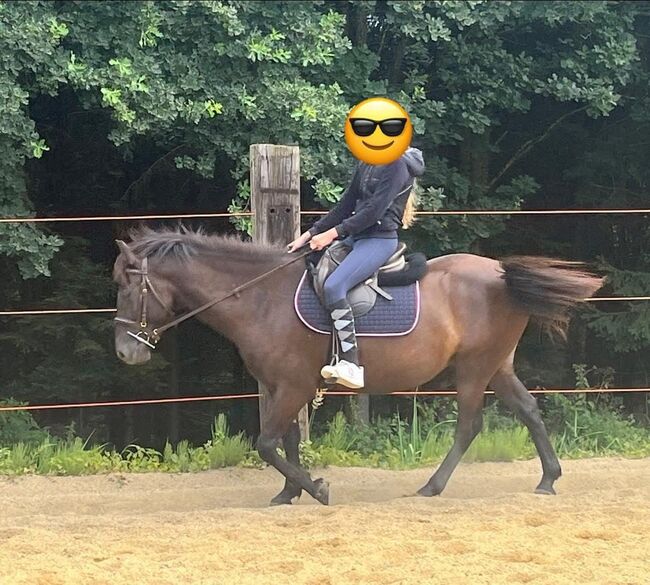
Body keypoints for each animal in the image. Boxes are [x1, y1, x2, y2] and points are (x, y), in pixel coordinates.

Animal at [112, 228, 604, 506]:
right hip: (496, 366)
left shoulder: (292, 385)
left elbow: (266, 443)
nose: (124, 353)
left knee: (469, 425)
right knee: (529, 411)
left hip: (474, 369)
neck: (262, 296)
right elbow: (287, 442)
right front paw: (289, 493)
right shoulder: (282, 385)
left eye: (128, 287)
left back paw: (432, 487)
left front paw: (316, 489)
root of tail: (501, 272)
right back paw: (548, 479)